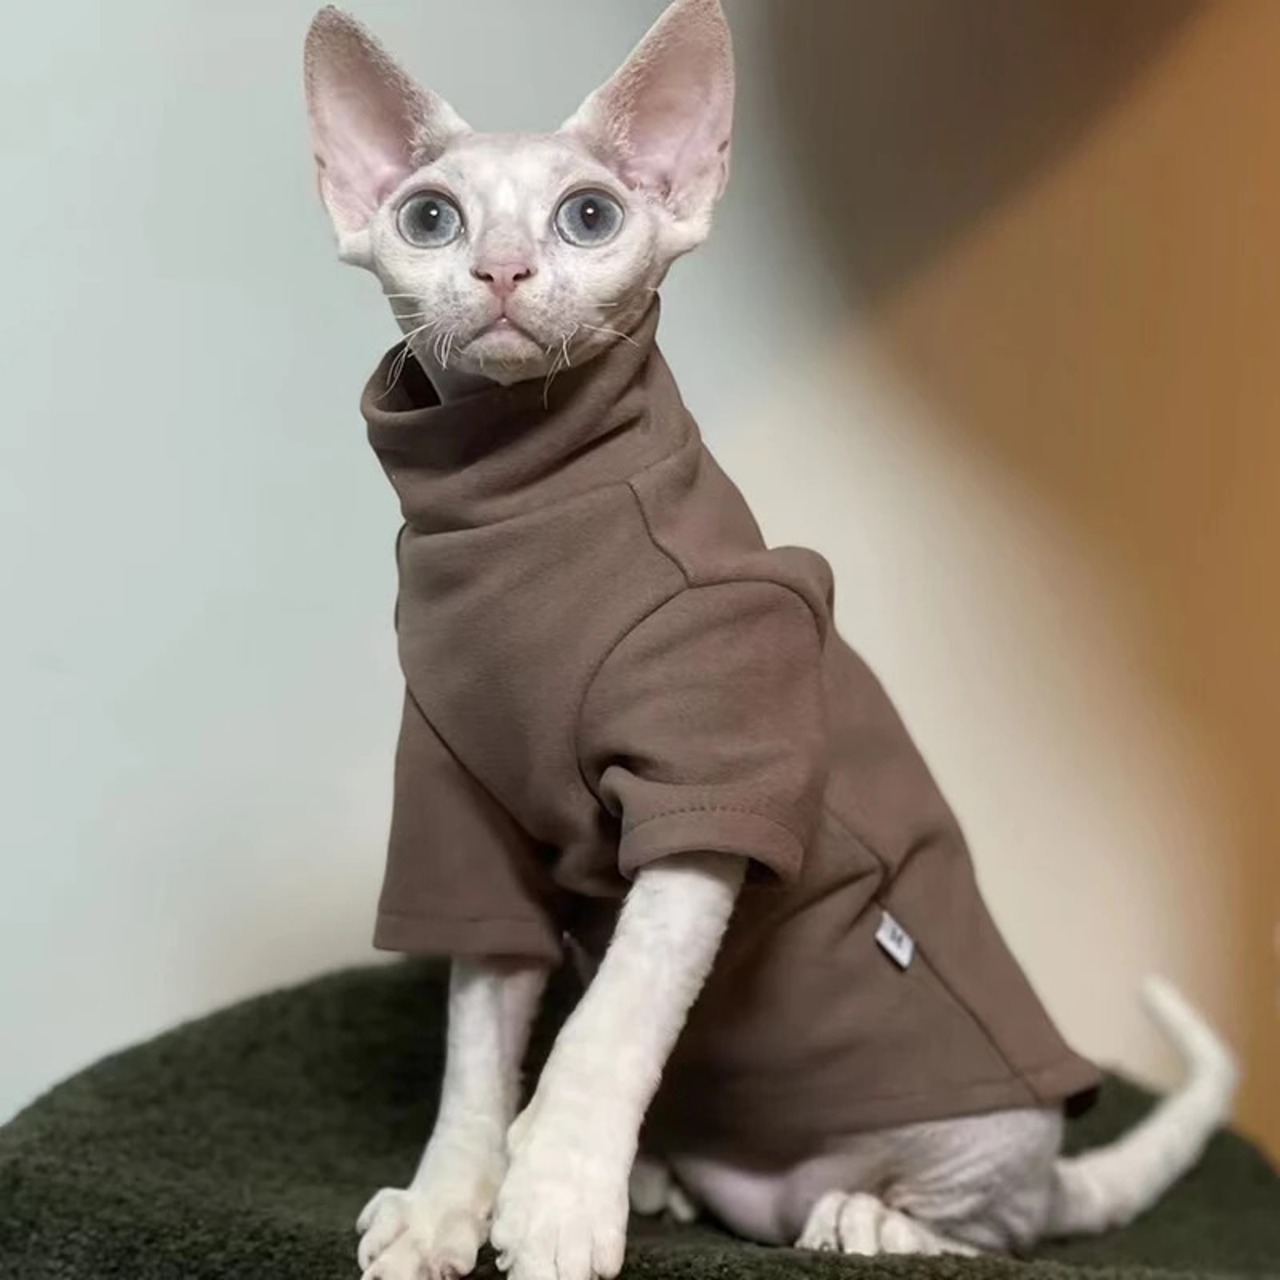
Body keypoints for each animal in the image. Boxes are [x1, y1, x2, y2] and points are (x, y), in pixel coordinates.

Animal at [302, 4, 1239, 1279]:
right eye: (429, 218)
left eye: (588, 215)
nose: (499, 270)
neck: (517, 506)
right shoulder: (461, 808)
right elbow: (476, 1043)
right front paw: (449, 1200)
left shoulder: (710, 774)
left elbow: (607, 1020)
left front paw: (553, 1199)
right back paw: (665, 1176)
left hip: (980, 1128)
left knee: (999, 1228)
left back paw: (872, 1217)